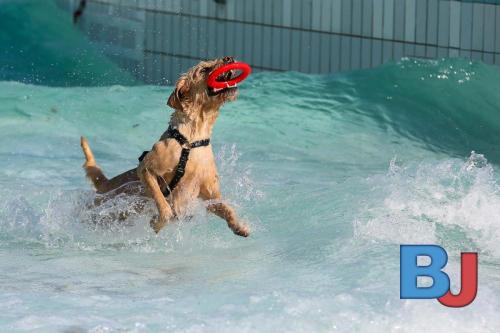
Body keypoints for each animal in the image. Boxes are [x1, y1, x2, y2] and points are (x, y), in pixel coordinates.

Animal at [81, 57, 250, 239]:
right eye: (203, 70)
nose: (229, 58)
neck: (192, 141)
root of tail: (105, 184)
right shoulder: (146, 170)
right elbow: (163, 204)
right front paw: (158, 222)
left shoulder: (209, 193)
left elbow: (226, 208)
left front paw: (239, 225)